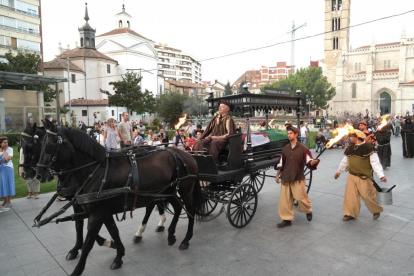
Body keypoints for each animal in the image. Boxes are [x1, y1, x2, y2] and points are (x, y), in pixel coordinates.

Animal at [36, 119, 201, 274]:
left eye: (49, 144)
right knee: (176, 207)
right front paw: (118, 253)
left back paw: (186, 239)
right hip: (167, 191)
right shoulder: (102, 211)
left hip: (185, 190)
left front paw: (77, 269)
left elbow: (89, 242)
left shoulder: (97, 214)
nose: (38, 175)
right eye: (40, 143)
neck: (96, 171)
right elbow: (112, 231)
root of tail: (185, 154)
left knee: (190, 211)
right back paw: (170, 234)